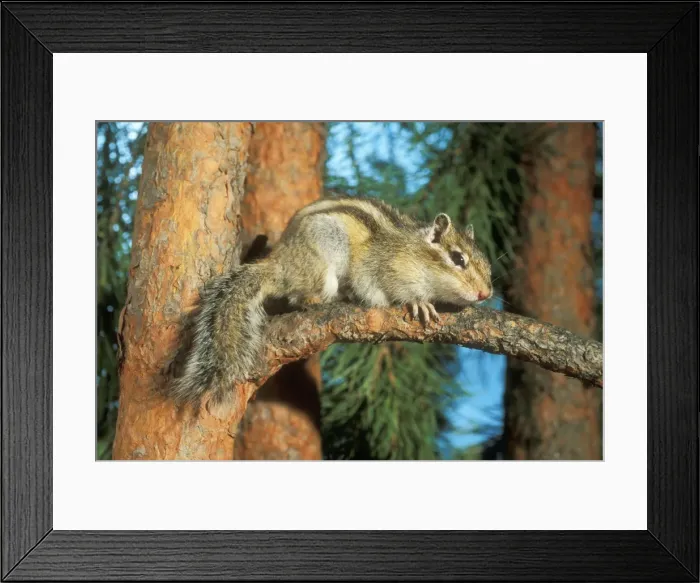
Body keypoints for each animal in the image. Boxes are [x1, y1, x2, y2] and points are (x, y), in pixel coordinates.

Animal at [168, 195, 493, 410]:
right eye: (458, 259)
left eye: (487, 263)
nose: (485, 294)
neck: (415, 253)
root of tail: (279, 263)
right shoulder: (374, 268)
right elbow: (383, 288)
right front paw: (419, 302)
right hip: (325, 255)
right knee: (299, 296)